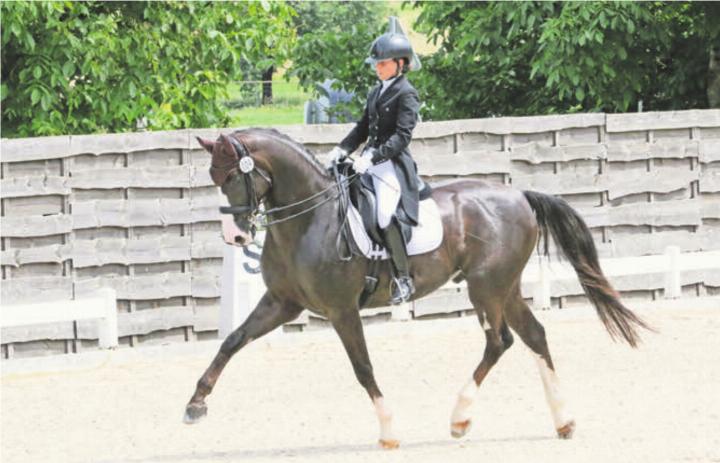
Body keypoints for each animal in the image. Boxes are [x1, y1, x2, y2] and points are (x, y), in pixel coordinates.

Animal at [181, 128, 652, 450]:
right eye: (213, 177)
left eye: (234, 176)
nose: (236, 237)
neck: (310, 219)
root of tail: (519, 194)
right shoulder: (282, 303)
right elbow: (232, 341)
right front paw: (195, 404)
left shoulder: (341, 310)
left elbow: (363, 368)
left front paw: (389, 430)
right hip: (506, 288)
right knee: (534, 335)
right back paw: (563, 421)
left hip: (486, 288)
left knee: (499, 341)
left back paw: (460, 418)